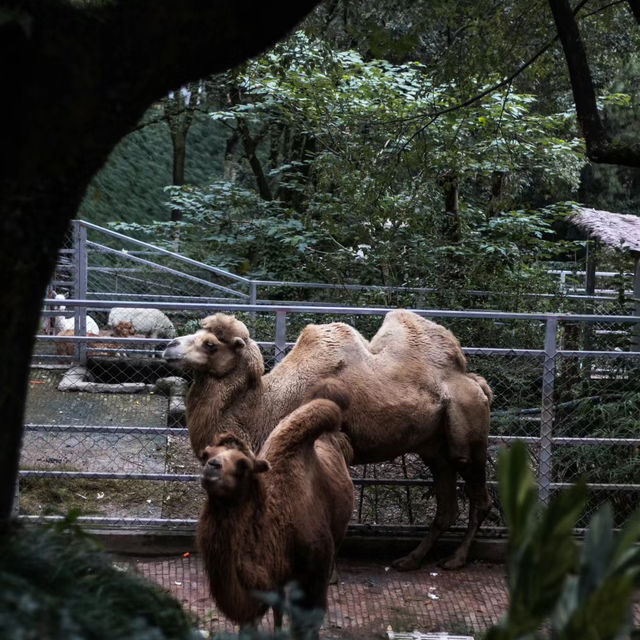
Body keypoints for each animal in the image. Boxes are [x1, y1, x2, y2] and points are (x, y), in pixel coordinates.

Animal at [162, 310, 492, 568]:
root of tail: (477, 383)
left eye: (210, 344)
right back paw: (410, 560)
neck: (267, 405)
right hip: (434, 449)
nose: (168, 347)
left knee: (479, 496)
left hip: (468, 436)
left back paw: (455, 559)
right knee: (447, 506)